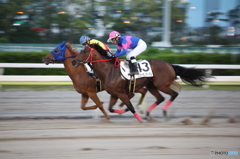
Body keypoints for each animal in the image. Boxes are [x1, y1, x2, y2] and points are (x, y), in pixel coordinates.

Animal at [71, 44, 208, 122]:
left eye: (84, 51)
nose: (73, 62)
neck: (109, 71)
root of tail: (170, 65)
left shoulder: (121, 93)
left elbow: (130, 106)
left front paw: (138, 118)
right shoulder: (115, 94)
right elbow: (111, 108)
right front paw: (124, 111)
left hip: (162, 85)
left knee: (173, 94)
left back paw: (163, 112)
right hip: (152, 86)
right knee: (160, 98)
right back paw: (148, 114)